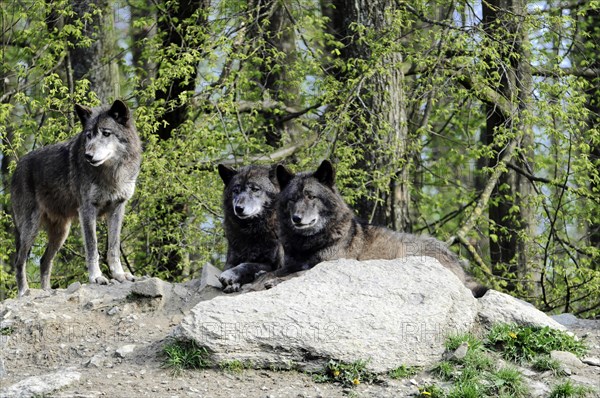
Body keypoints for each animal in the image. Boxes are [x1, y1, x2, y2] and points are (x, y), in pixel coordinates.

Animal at [11, 101, 142, 296]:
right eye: (88, 135)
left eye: (106, 133)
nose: (88, 156)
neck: (111, 173)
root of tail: (17, 166)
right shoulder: (87, 210)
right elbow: (92, 247)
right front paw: (96, 277)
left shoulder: (117, 208)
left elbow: (113, 248)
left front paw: (119, 275)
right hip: (30, 229)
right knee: (19, 261)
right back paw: (23, 292)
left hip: (61, 233)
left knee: (44, 260)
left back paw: (47, 291)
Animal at [217, 162, 282, 292]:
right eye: (235, 191)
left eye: (255, 189)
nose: (238, 208)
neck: (251, 232)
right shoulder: (231, 258)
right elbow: (231, 266)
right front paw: (232, 283)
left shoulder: (271, 263)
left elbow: (247, 265)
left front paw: (230, 275)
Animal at [276, 160, 488, 296]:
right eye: (292, 199)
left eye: (311, 196)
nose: (297, 219)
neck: (308, 244)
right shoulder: (290, 264)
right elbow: (276, 272)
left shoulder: (324, 265)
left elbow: (292, 276)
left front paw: (273, 282)